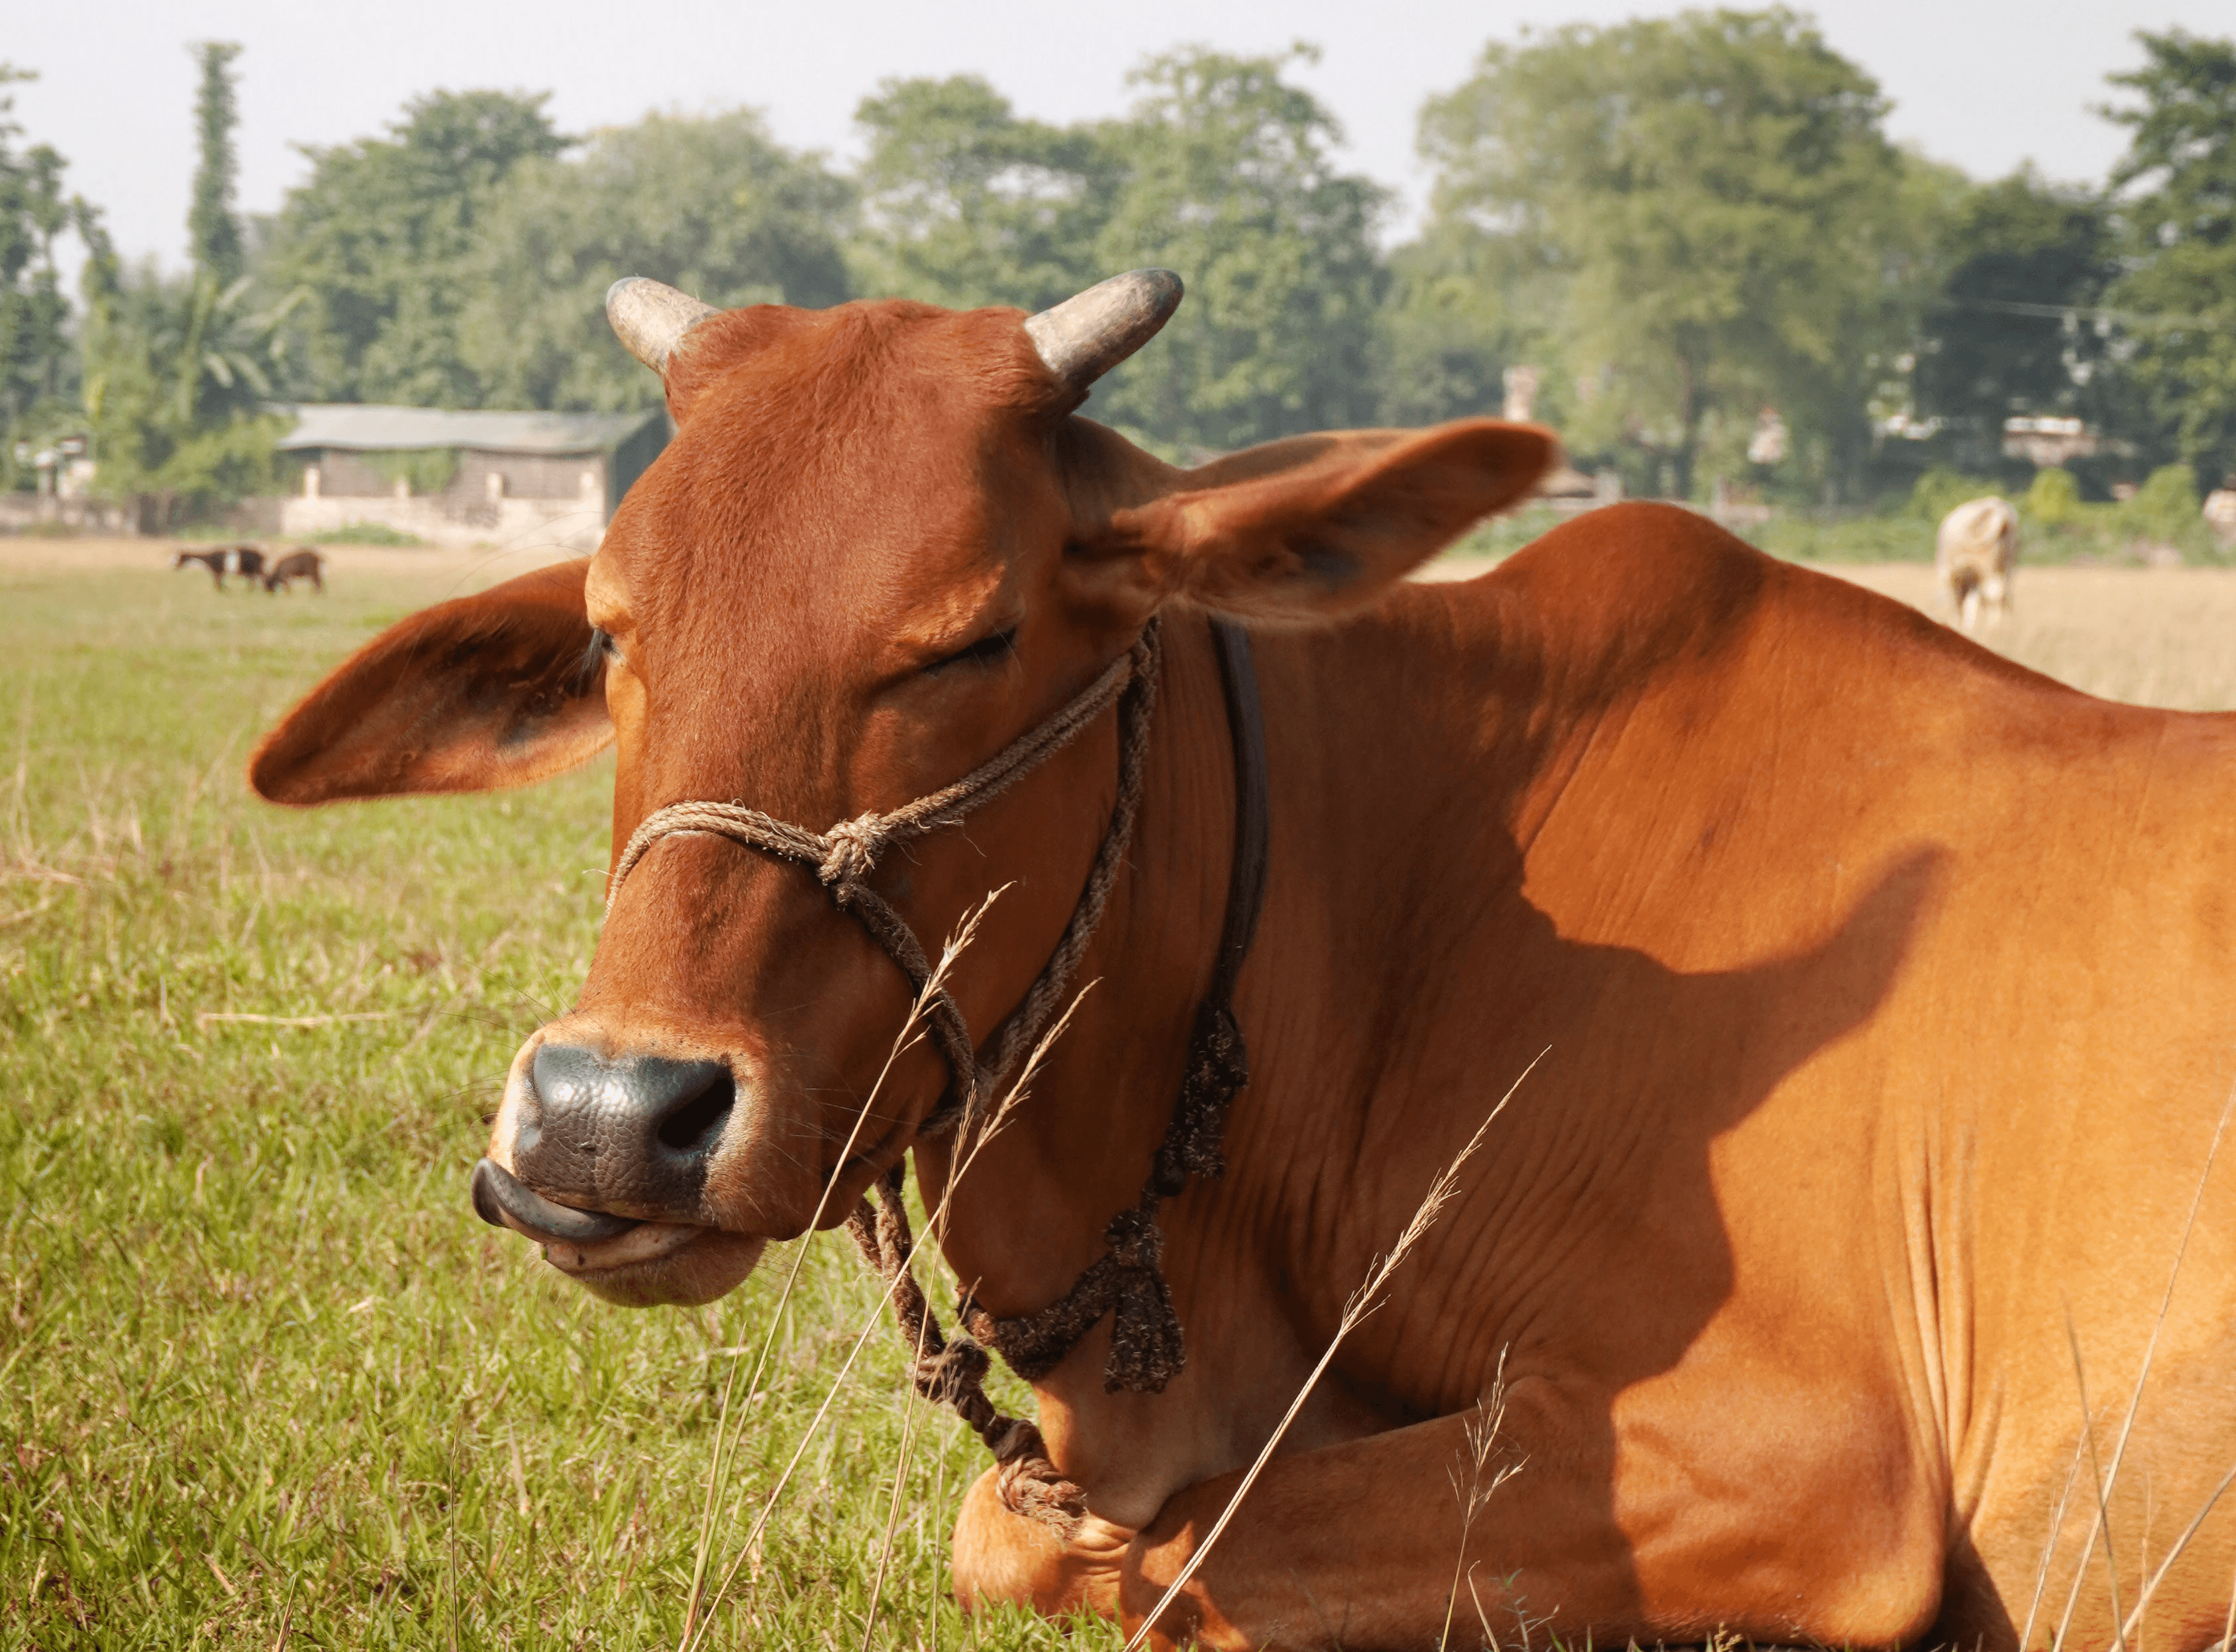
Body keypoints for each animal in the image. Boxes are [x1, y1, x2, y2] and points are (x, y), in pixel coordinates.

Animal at [1936, 496, 2018, 632]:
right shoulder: (1972, 579)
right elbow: (1971, 603)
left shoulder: (1948, 574)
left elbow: (1957, 603)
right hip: (2007, 564)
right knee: (2005, 593)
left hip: (1988, 565)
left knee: (1994, 592)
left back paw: (1993, 627)